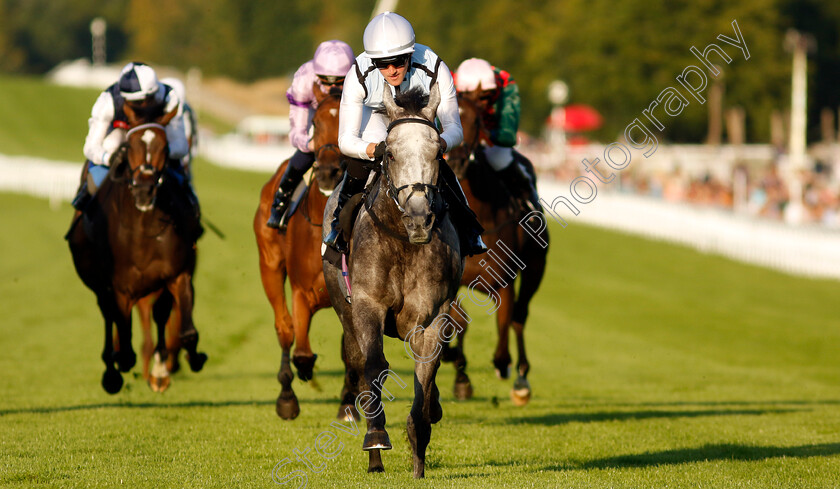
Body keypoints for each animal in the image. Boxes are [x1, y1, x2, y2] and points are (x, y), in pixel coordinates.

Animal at [68, 104, 206, 392]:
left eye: (165, 147)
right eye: (130, 146)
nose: (145, 190)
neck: (143, 228)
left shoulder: (177, 275)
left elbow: (185, 330)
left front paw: (188, 360)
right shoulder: (120, 288)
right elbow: (122, 332)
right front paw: (121, 363)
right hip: (100, 285)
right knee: (109, 317)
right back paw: (112, 373)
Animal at [253, 85, 352, 420]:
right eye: (316, 123)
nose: (328, 172)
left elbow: (351, 350)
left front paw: (348, 404)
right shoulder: (301, 291)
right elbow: (302, 352)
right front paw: (304, 375)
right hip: (269, 264)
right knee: (284, 328)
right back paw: (287, 396)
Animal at [324, 84, 466, 476]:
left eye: (437, 151)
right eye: (389, 152)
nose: (419, 219)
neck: (403, 241)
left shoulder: (434, 314)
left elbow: (426, 372)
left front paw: (419, 448)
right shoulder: (367, 305)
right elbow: (374, 365)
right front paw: (376, 436)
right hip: (342, 306)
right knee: (358, 363)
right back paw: (374, 460)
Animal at [440, 90, 552, 404]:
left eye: (477, 121)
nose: (457, 162)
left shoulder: (504, 281)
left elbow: (504, 323)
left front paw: (502, 364)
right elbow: (458, 321)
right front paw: (461, 377)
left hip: (536, 267)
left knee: (520, 316)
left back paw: (521, 378)